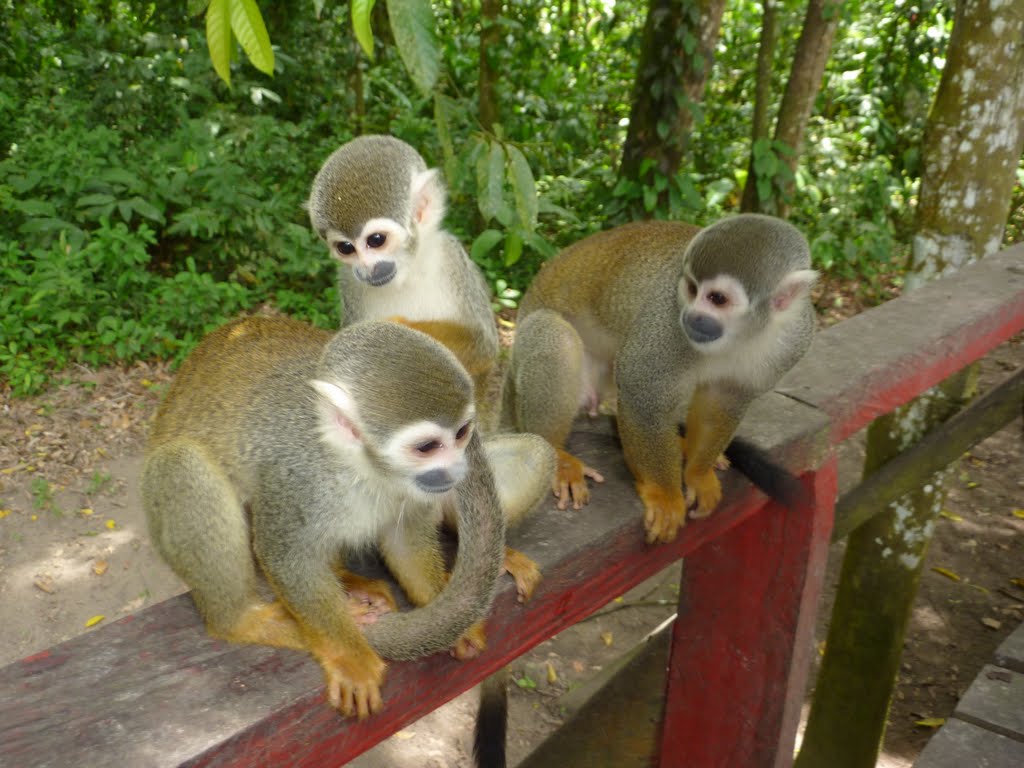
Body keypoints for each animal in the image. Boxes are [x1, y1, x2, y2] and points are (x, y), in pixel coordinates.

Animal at [143, 315, 524, 720]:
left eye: (462, 433)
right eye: (427, 447)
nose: (457, 470)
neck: (361, 465)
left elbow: (405, 543)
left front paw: (450, 614)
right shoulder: (297, 473)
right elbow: (286, 556)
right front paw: (350, 657)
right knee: (181, 463)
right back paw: (244, 620)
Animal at [499, 214, 819, 544]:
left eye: (717, 299)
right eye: (690, 289)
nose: (692, 317)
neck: (743, 334)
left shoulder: (793, 341)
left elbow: (725, 400)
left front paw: (698, 475)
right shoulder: (666, 317)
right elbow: (641, 393)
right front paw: (665, 496)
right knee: (555, 334)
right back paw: (557, 455)